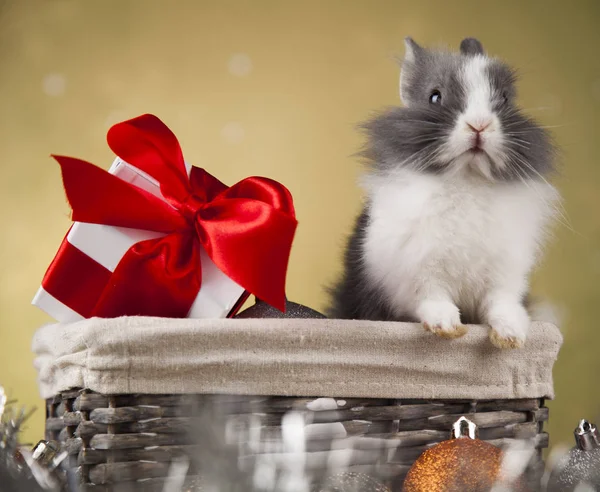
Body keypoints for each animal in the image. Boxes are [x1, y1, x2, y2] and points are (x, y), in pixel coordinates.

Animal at [326, 36, 560, 348]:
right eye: (434, 97)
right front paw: (446, 326)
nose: (479, 125)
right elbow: (432, 298)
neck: (466, 178)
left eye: (505, 99)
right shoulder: (416, 272)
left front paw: (511, 335)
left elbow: (501, 304)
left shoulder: (503, 276)